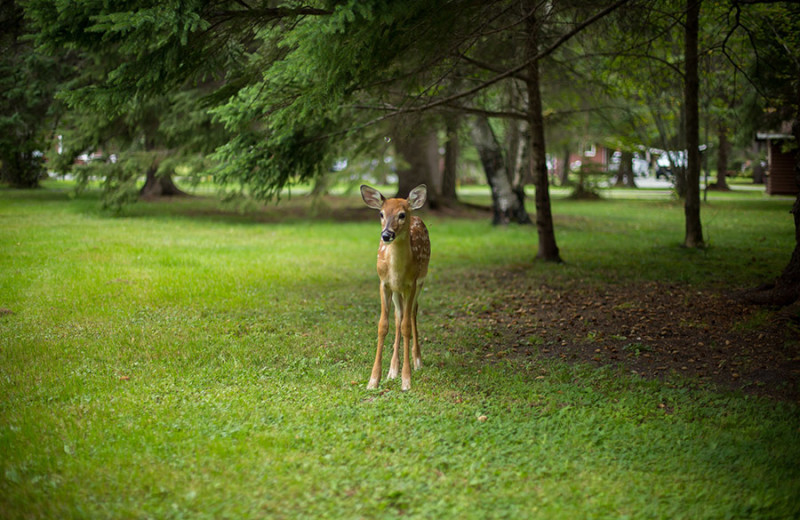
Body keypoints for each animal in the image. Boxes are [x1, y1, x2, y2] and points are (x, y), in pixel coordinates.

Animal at [360, 183, 428, 390]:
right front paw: (374, 379)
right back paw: (392, 370)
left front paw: (406, 380)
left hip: (420, 282)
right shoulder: (384, 283)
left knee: (412, 312)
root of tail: (417, 216)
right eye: (381, 213)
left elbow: (406, 327)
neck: (397, 272)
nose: (386, 235)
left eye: (402, 214)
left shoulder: (411, 284)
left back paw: (417, 361)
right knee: (399, 316)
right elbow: (383, 325)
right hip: (397, 291)